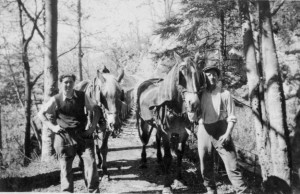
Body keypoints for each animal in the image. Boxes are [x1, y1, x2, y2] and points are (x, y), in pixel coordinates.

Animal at [135, 55, 206, 193]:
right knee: (145, 139)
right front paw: (167, 185)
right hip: (143, 121)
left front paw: (179, 178)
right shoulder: (166, 133)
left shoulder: (183, 133)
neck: (175, 108)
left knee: (157, 138)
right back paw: (144, 160)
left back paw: (159, 159)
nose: (194, 104)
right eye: (180, 76)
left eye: (198, 75)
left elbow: (180, 154)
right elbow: (168, 157)